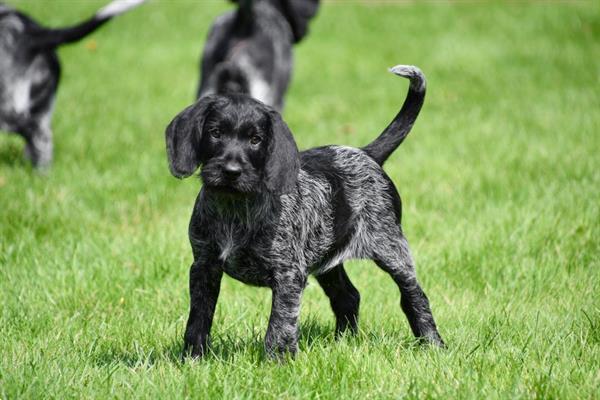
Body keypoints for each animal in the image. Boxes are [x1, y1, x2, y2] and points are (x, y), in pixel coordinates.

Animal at [166, 64, 442, 358]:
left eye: (255, 140)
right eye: (215, 133)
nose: (231, 171)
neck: (235, 208)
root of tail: (366, 153)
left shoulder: (288, 275)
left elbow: (280, 325)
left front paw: (276, 361)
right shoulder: (204, 267)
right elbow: (198, 319)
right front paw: (193, 358)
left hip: (391, 248)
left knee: (414, 297)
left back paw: (434, 344)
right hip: (328, 260)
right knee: (348, 297)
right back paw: (343, 342)